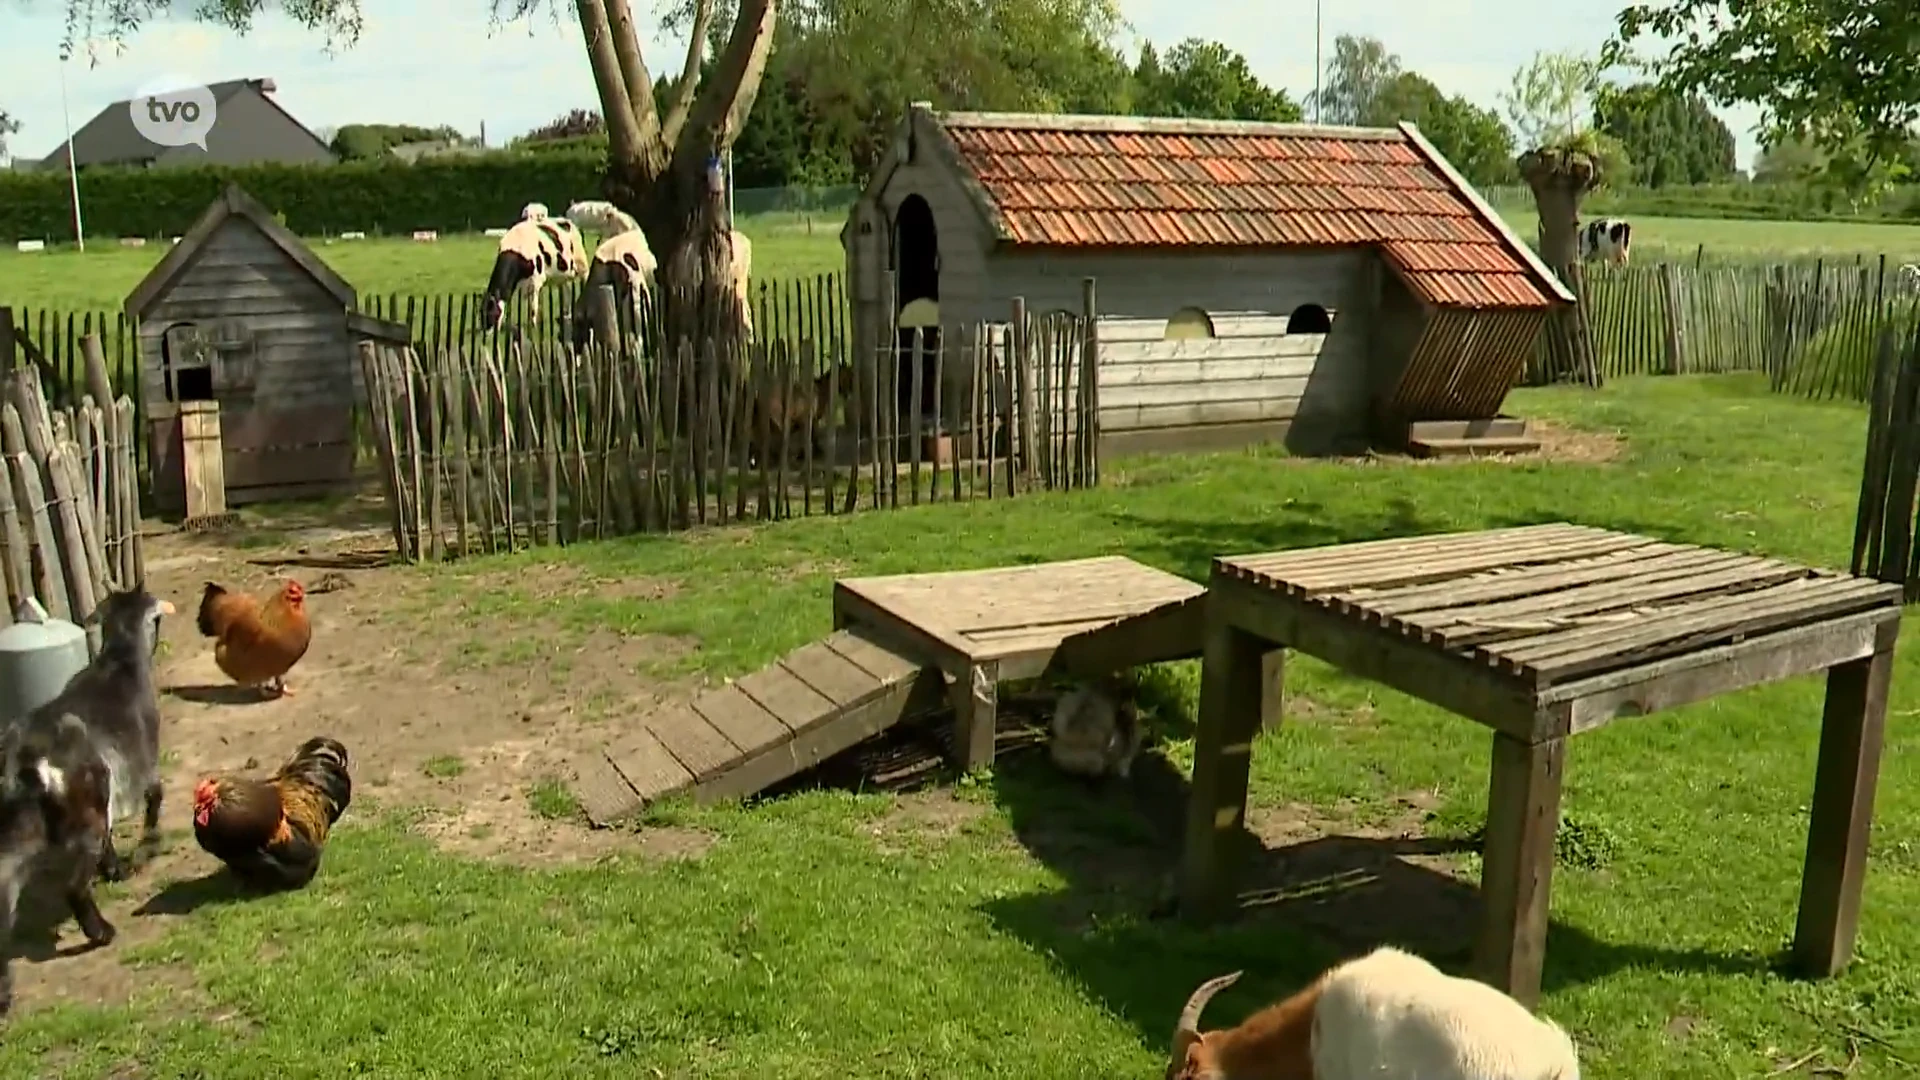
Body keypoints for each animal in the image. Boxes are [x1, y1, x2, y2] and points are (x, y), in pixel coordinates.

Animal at [1, 584, 175, 1014]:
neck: (120, 663)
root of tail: (23, 756)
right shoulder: (143, 764)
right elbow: (155, 795)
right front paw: (145, 850)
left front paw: (115, 869)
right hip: (85, 816)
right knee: (74, 887)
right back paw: (102, 933)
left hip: (16, 839)